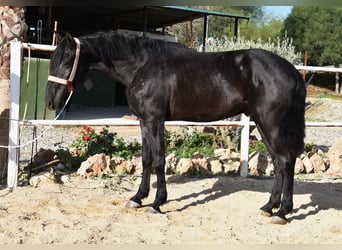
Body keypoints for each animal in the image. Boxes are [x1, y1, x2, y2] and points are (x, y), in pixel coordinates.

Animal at [44, 31, 304, 225]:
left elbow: (159, 159)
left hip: (271, 123)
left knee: (286, 161)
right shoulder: (143, 120)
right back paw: (269, 207)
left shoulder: (155, 119)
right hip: (262, 124)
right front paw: (138, 198)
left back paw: (282, 212)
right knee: (279, 162)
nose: (50, 101)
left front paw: (157, 203)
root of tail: (292, 70)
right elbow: (146, 159)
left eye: (66, 61)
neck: (142, 65)